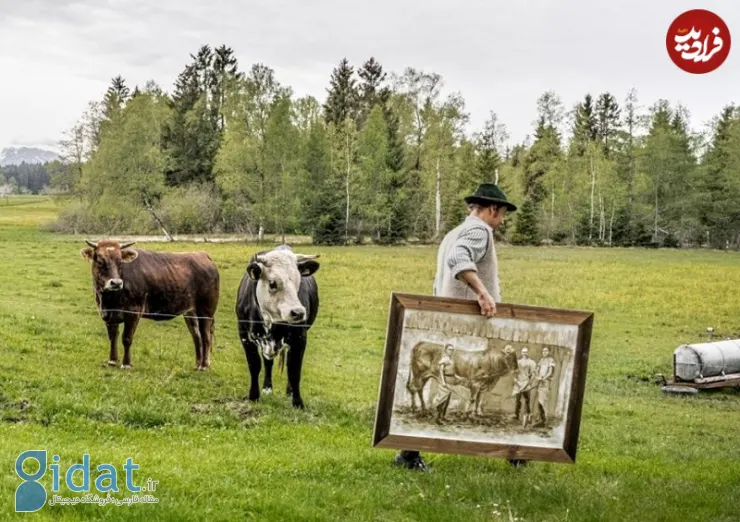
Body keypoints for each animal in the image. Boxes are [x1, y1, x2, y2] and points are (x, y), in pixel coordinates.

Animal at [81, 240, 220, 370]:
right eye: (99, 260)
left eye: (120, 261)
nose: (116, 283)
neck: (109, 299)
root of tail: (202, 255)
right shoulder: (108, 313)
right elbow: (112, 337)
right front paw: (112, 361)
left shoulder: (134, 312)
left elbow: (126, 338)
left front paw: (126, 364)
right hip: (190, 312)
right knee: (196, 336)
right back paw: (198, 364)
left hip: (206, 311)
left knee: (206, 337)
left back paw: (204, 366)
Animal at [236, 246, 320, 408]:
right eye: (272, 283)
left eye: (299, 280)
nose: (298, 312)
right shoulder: (244, 335)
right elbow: (254, 364)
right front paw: (254, 396)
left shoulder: (300, 338)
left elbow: (294, 370)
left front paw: (297, 402)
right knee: (268, 362)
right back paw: (267, 387)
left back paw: (290, 391)